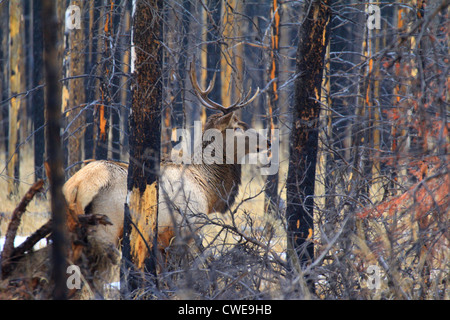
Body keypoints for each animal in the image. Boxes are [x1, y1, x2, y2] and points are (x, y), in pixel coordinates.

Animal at [63, 63, 268, 258]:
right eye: (237, 126)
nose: (267, 141)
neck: (208, 189)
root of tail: (77, 186)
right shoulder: (189, 226)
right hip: (107, 224)